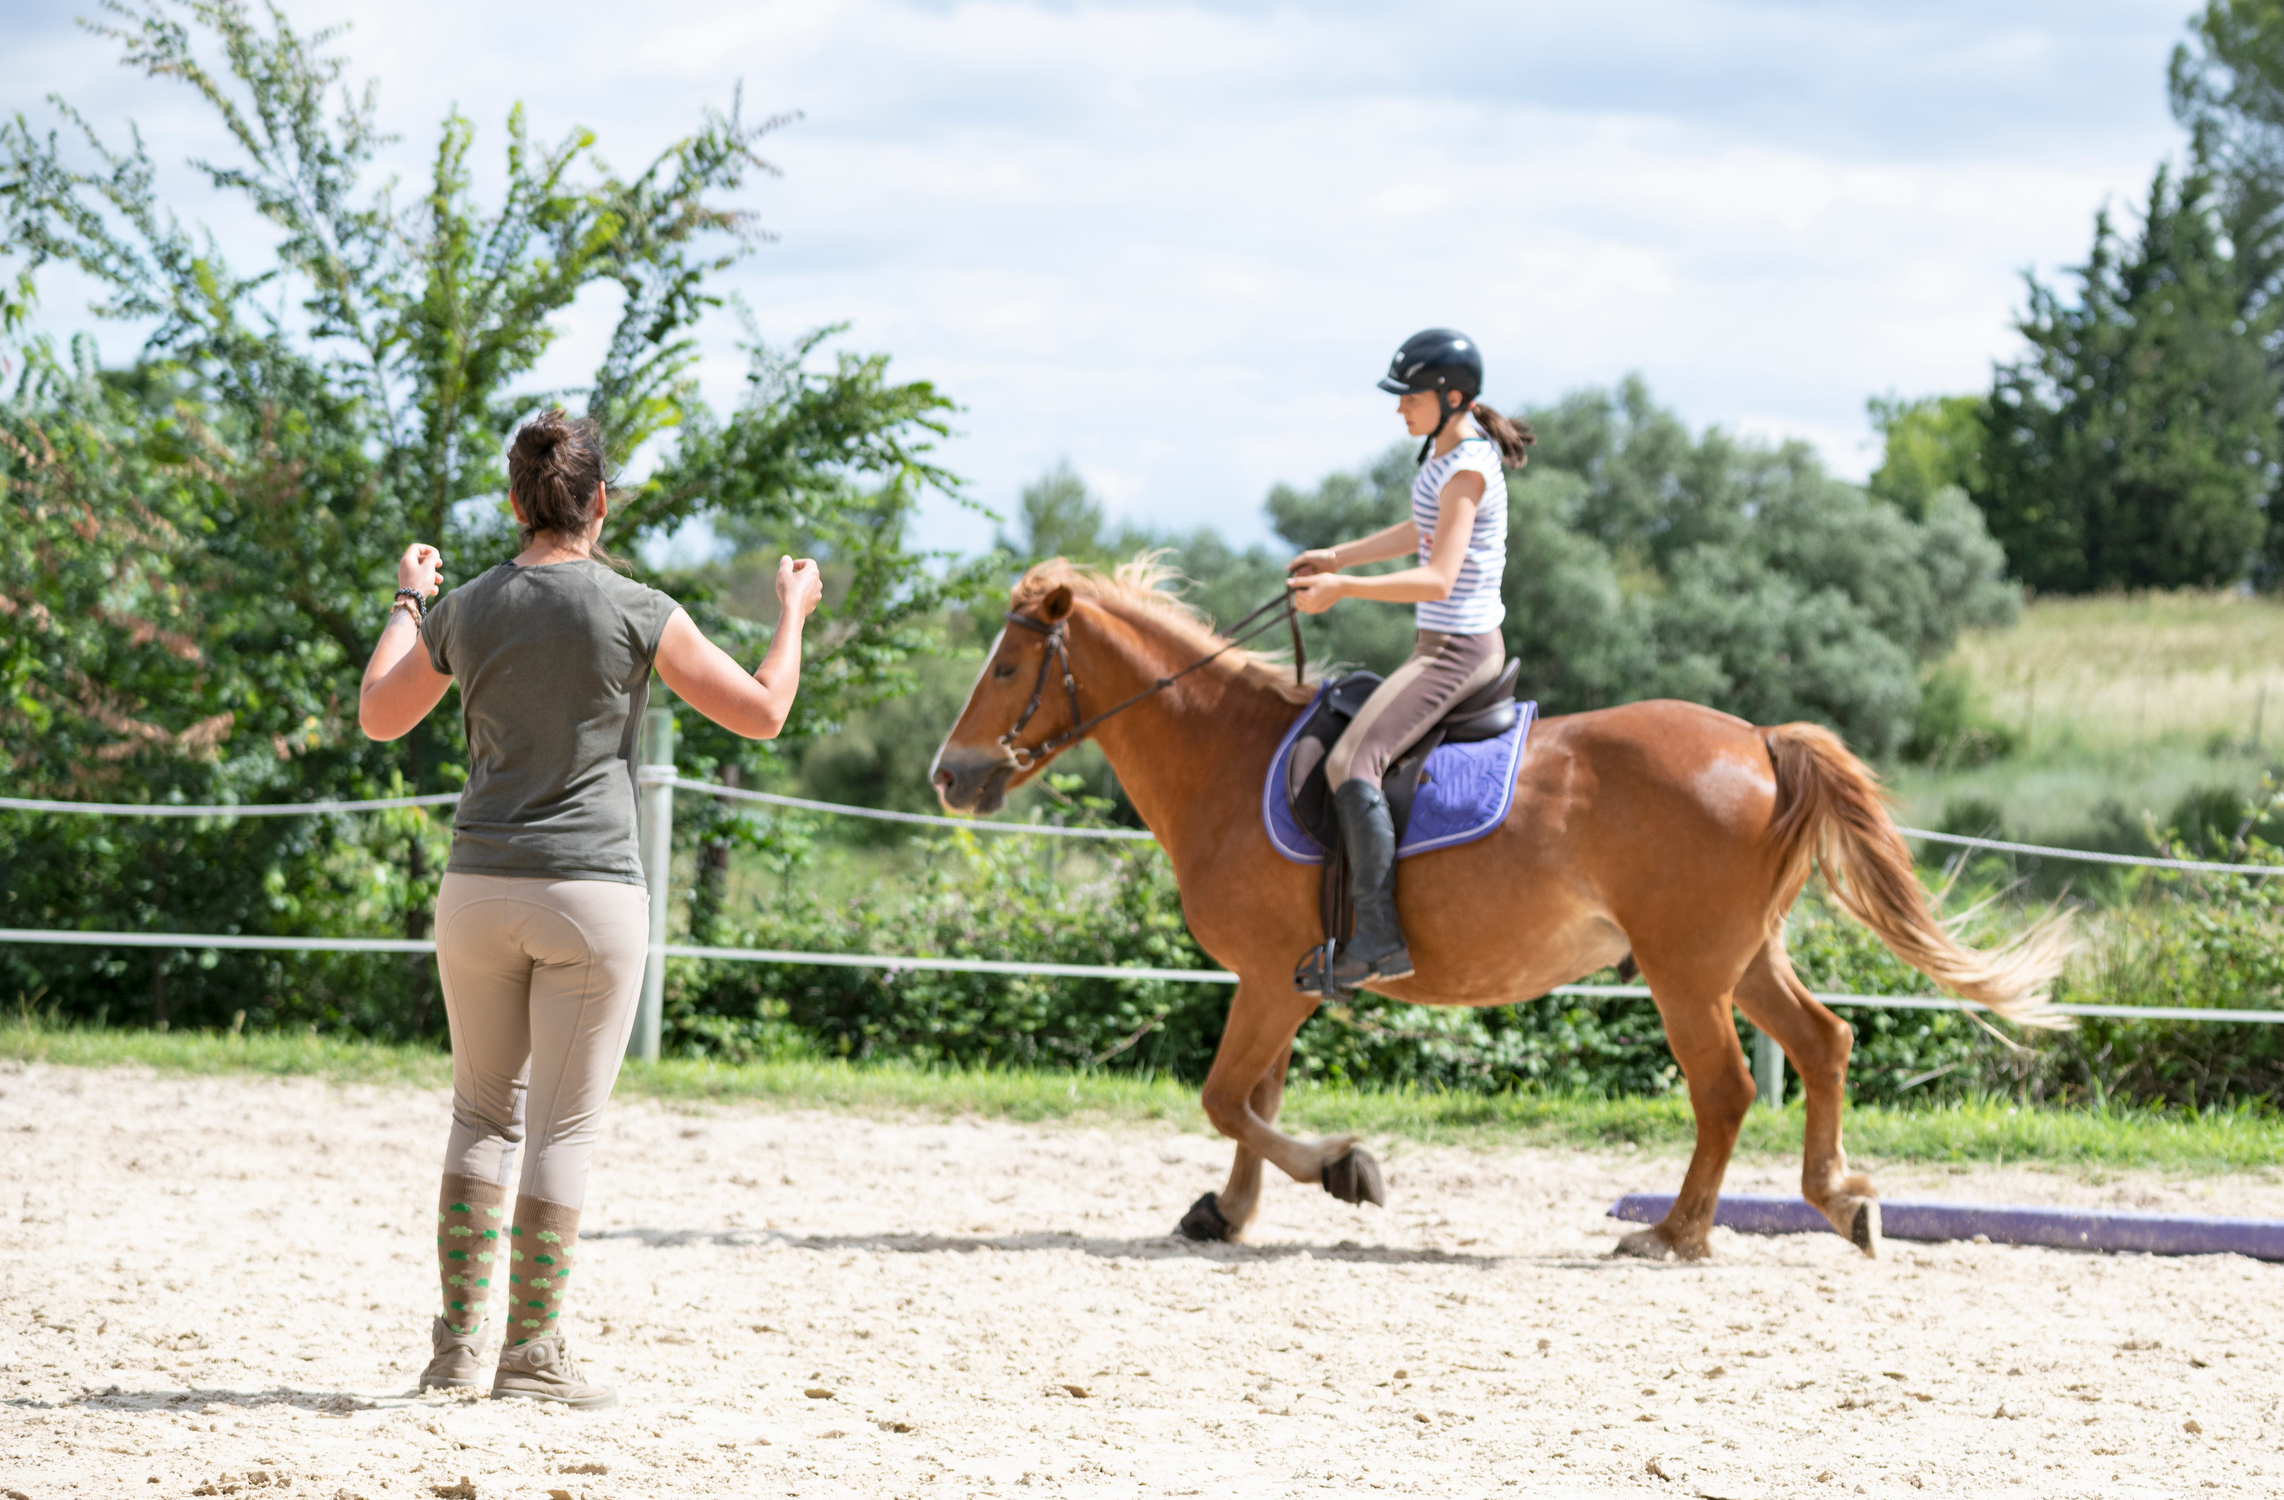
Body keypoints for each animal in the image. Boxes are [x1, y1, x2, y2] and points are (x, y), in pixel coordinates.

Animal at [927, 554, 2073, 1260]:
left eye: (1009, 664)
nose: (949, 775)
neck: (1227, 758)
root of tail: (1757, 740)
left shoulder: (1267, 978)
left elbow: (1225, 1098)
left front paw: (1345, 1171)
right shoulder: (1282, 979)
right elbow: (1253, 1100)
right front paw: (1229, 1209)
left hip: (1685, 970)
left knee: (1728, 1087)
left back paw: (1675, 1234)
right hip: (1741, 957)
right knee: (1823, 1045)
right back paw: (1842, 1202)